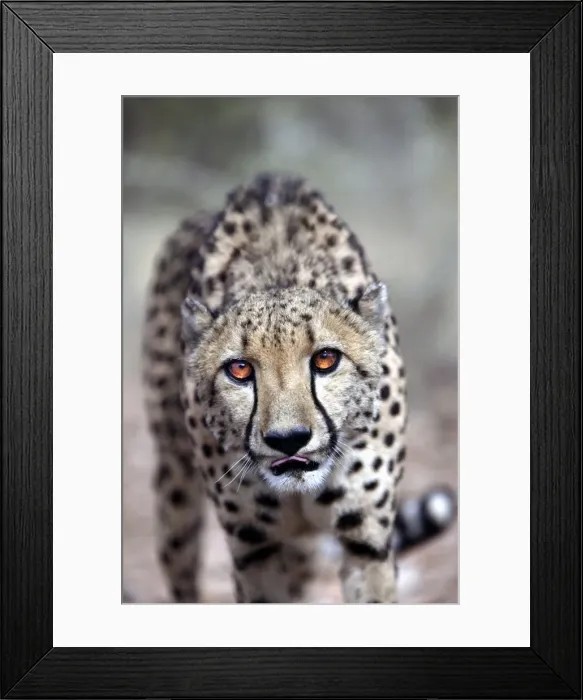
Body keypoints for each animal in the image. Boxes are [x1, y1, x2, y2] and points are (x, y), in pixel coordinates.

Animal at [141, 173, 456, 604]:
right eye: (239, 369)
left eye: (325, 359)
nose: (288, 439)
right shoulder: (256, 550)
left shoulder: (366, 542)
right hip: (175, 486)